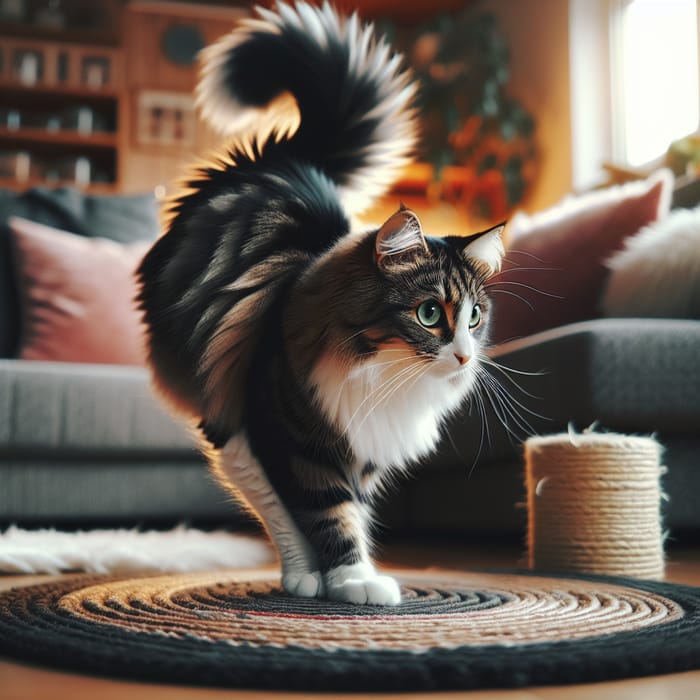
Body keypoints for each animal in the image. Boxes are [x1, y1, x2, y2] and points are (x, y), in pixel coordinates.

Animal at [135, 0, 504, 604]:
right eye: (429, 314)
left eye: (475, 316)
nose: (464, 356)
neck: (383, 376)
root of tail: (287, 159)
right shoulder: (293, 437)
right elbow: (327, 511)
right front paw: (352, 579)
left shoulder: (365, 448)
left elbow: (350, 508)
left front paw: (350, 576)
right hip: (224, 399)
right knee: (257, 487)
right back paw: (301, 574)